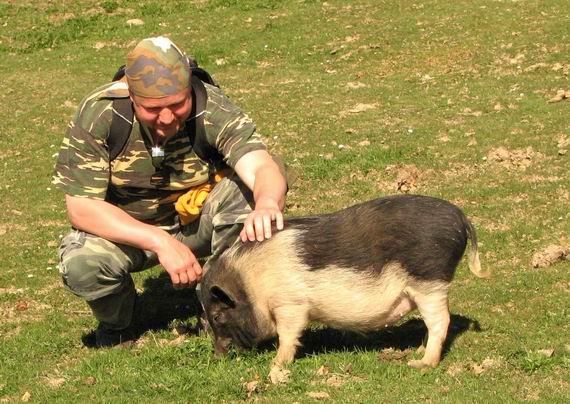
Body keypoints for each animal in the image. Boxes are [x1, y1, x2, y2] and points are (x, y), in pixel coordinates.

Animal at [197, 194, 486, 380]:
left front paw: (275, 366)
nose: (217, 357)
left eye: (217, 316)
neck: (251, 284)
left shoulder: (290, 304)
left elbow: (288, 335)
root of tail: (461, 218)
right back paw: (416, 351)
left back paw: (421, 363)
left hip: (430, 281)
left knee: (441, 321)